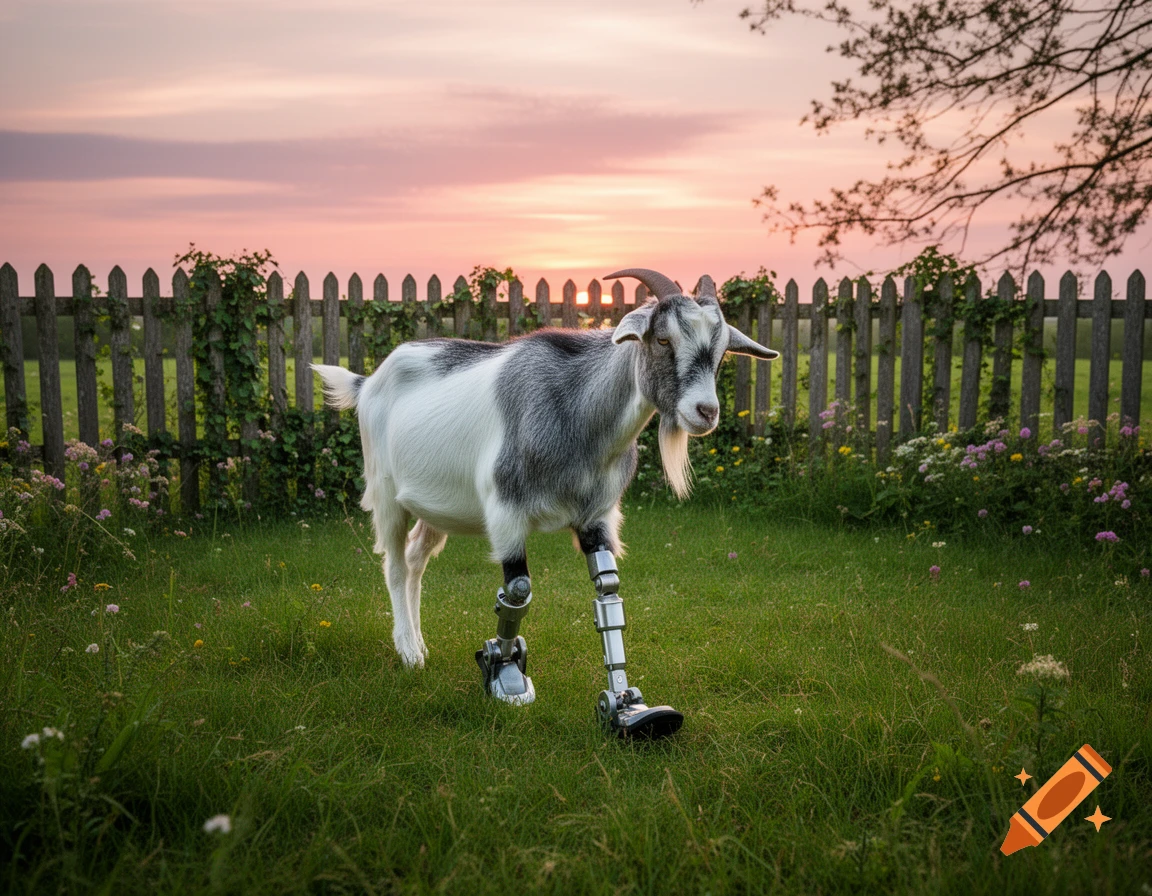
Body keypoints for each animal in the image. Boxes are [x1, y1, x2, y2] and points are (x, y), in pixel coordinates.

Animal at [313, 268, 777, 734]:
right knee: (393, 564)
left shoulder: (596, 516)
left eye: (721, 350)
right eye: (663, 339)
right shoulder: (505, 513)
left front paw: (627, 707)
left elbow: (608, 591)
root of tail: (368, 381)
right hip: (386, 492)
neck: (575, 414)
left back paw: (419, 645)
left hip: (437, 507)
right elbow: (517, 592)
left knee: (414, 561)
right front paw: (504, 675)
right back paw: (408, 652)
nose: (706, 412)